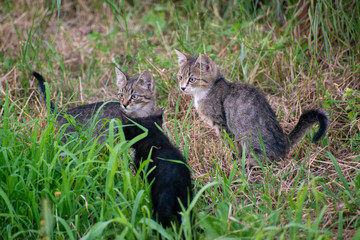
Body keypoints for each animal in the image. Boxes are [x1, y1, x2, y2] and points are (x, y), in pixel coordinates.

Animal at [174, 50, 330, 163]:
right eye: (180, 77)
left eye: (192, 79)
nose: (182, 87)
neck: (206, 91)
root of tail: (283, 143)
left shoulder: (222, 123)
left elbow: (229, 143)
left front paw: (231, 156)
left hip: (246, 135)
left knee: (267, 158)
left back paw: (248, 162)